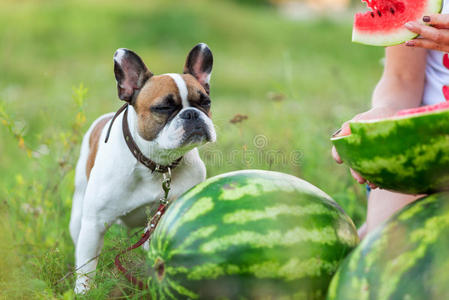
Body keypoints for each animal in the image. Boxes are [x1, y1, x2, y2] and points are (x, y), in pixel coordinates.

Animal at [69, 42, 216, 292]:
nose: (192, 114)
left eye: (205, 102)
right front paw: (83, 292)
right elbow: (87, 270)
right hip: (78, 214)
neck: (156, 164)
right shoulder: (93, 226)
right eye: (164, 107)